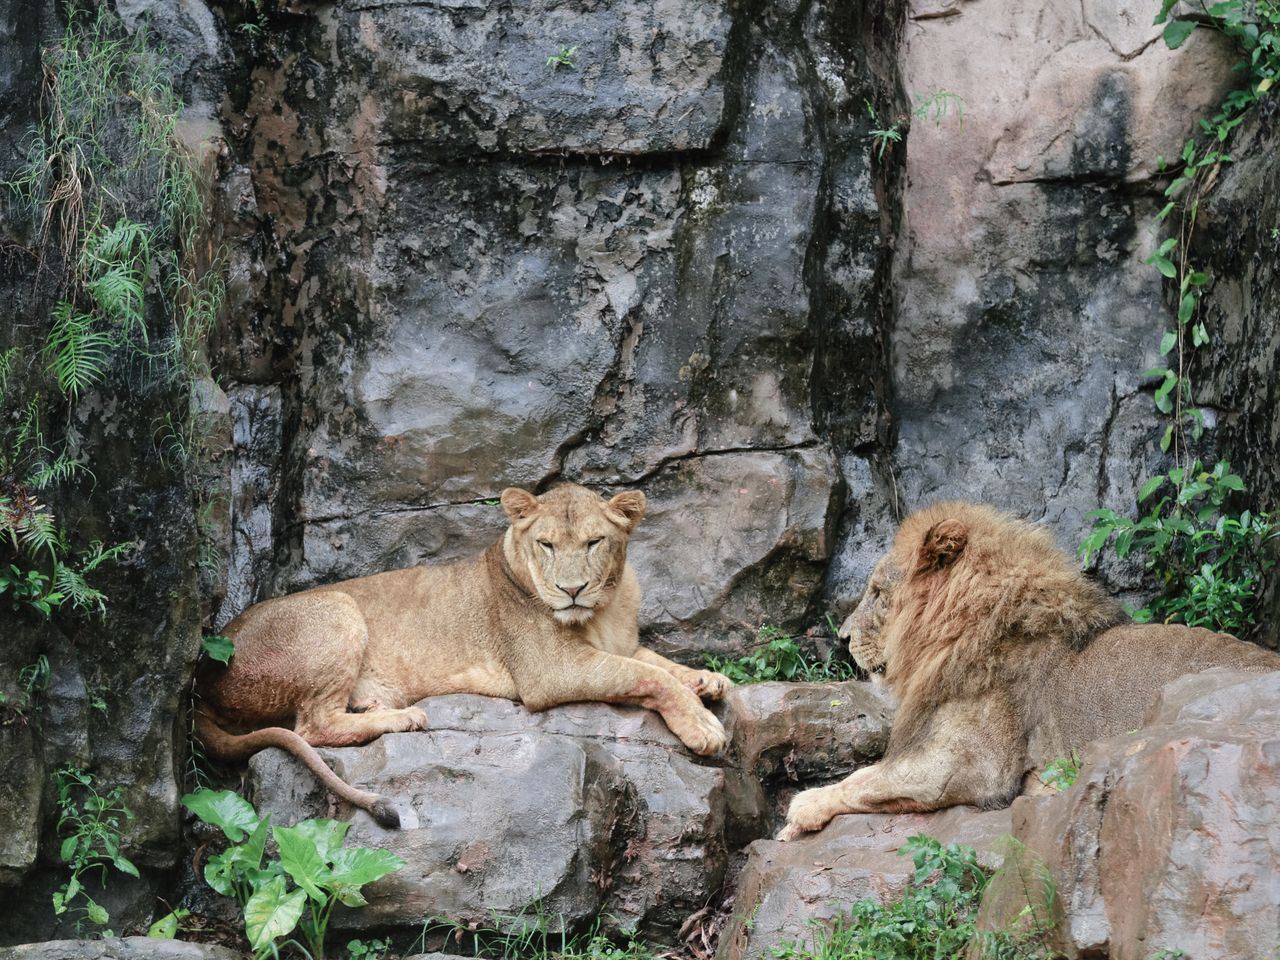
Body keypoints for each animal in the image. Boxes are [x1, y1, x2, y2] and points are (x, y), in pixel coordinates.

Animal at [197, 484, 732, 828]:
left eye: (594, 542)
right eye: (546, 545)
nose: (571, 590)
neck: (605, 607)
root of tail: (202, 678)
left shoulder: (621, 643)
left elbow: (657, 662)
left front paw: (707, 680)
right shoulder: (550, 671)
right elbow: (646, 675)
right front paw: (703, 725)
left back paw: (375, 704)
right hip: (338, 608)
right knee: (312, 725)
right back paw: (402, 717)